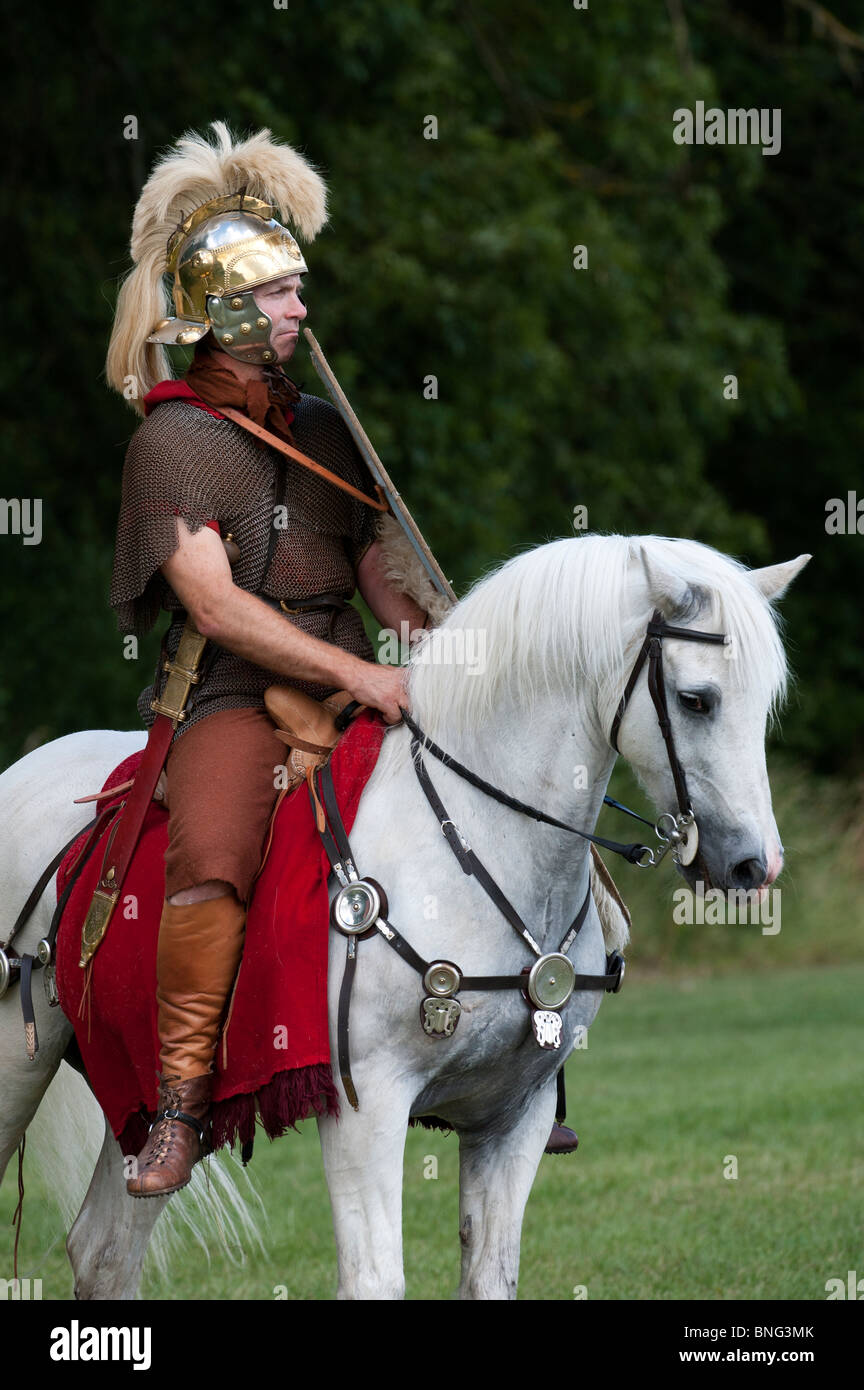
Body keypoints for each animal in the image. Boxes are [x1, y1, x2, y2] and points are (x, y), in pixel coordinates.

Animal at [0, 536, 811, 1295]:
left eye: (767, 700)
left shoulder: (514, 1115)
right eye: (698, 699)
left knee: (105, 1249)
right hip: (19, 1059)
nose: (753, 867)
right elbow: (374, 1278)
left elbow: (490, 1275)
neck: (482, 838)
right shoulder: (367, 1110)